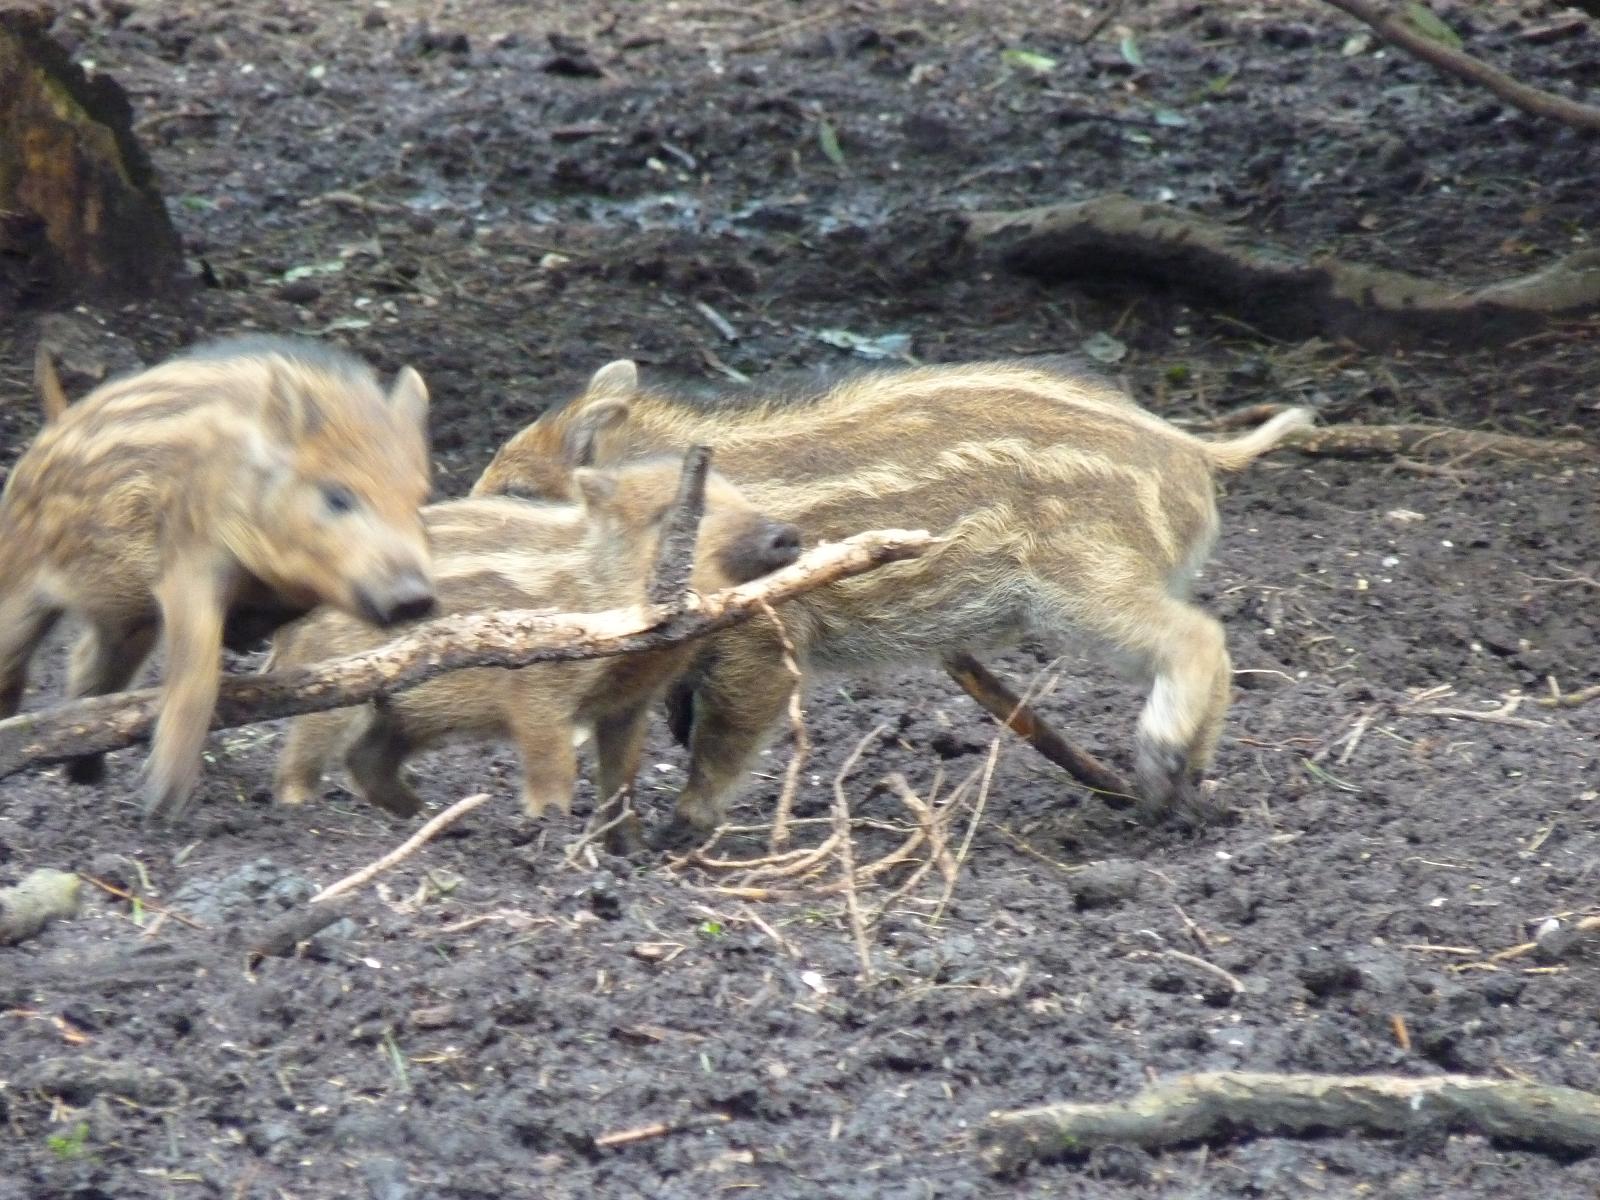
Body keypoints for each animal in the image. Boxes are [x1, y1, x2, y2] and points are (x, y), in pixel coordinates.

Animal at [0, 335, 435, 820]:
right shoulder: (187, 560)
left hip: (126, 620)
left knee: (88, 669)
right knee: (17, 667)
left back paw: (85, 778)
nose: (415, 598)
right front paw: (162, 805)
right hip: (18, 580)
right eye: (338, 497)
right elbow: (196, 668)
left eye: (419, 500)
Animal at [269, 455, 802, 826]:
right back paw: (299, 809)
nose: (789, 535)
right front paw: (549, 822)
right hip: (339, 687)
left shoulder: (629, 702)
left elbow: (622, 778)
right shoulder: (539, 687)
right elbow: (553, 763)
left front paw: (625, 849)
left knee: (367, 759)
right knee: (302, 756)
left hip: (407, 713)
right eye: (683, 512)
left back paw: (424, 816)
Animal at [473, 357, 1312, 836]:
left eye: (517, 493)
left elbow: (726, 738)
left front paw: (683, 831)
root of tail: (1193, 448)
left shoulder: (765, 638)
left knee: (1201, 638)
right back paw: (1177, 796)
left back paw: (1160, 765)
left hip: (1088, 584)